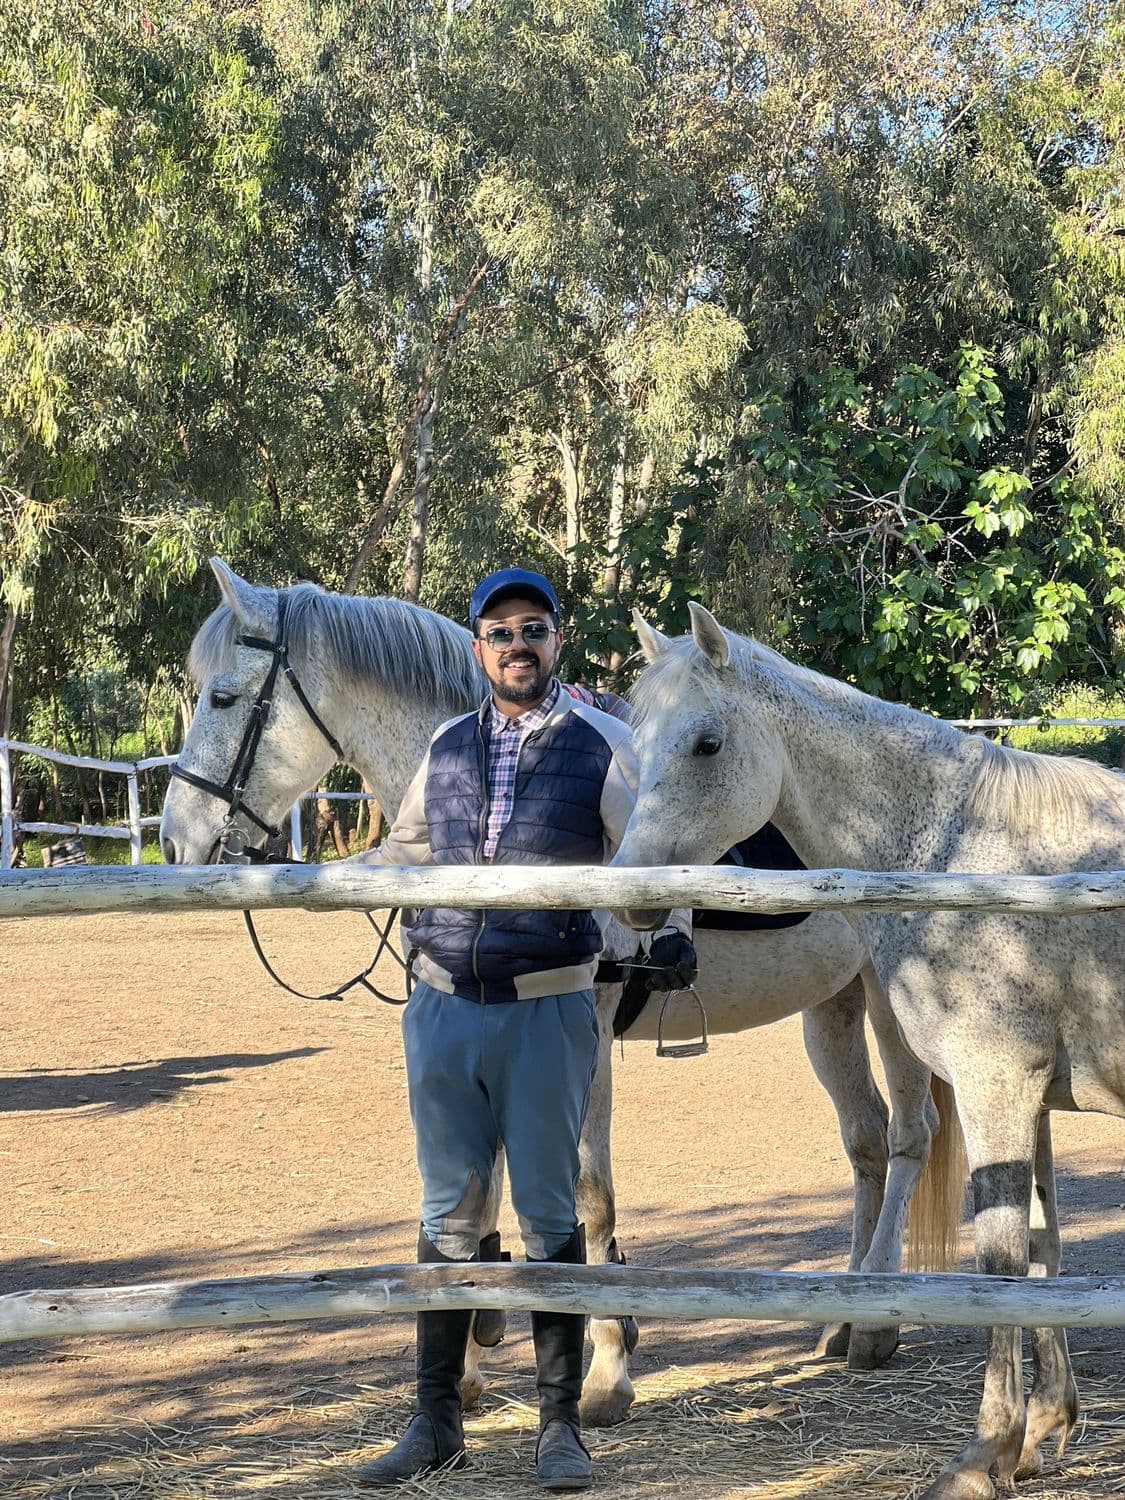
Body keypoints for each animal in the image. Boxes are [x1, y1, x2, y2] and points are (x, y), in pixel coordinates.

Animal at [159, 560, 944, 1424]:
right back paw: (844, 1316)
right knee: (865, 1141)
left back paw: (875, 1327)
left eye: (222, 697)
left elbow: (587, 1195)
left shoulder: (585, 1036)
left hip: (893, 1006)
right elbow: (483, 1188)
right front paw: (473, 1358)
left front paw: (606, 1367)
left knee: (910, 1136)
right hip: (830, 1005)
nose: (175, 837)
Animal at [615, 599, 1125, 1499]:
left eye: (705, 743)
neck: (964, 858)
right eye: (633, 741)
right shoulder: (1028, 1098)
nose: (632, 892)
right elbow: (1043, 1245)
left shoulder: (995, 1085)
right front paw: (1041, 1431)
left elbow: (998, 1258)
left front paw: (982, 1453)